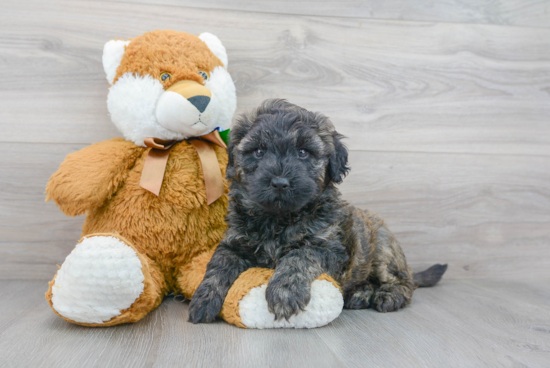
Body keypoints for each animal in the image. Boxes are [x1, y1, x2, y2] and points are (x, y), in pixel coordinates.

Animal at [190, 99, 448, 324]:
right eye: (259, 152)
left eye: (303, 152)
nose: (280, 183)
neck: (278, 218)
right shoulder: (234, 243)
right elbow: (218, 265)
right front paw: (203, 299)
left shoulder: (327, 247)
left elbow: (299, 257)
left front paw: (285, 292)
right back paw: (360, 295)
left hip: (382, 249)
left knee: (404, 282)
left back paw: (388, 296)